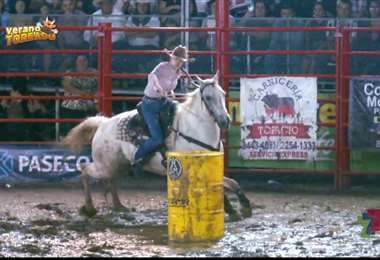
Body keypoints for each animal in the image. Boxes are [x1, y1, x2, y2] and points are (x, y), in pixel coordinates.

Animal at [62, 73, 252, 219]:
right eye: (208, 97)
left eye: (223, 93)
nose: (225, 121)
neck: (196, 129)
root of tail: (103, 124)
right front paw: (234, 209)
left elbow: (232, 183)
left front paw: (243, 206)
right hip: (104, 166)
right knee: (84, 169)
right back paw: (89, 208)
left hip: (118, 165)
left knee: (111, 180)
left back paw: (119, 206)